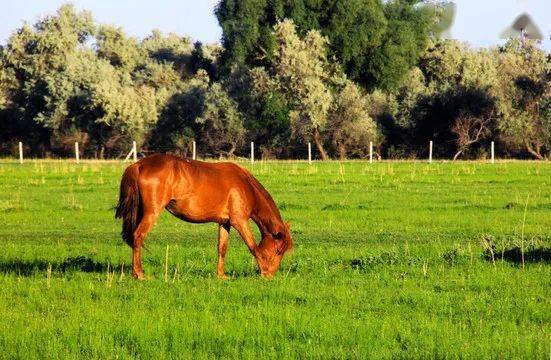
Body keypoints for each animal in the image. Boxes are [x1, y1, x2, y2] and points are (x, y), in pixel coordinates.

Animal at [115, 153, 294, 280]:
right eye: (278, 250)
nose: (270, 275)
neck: (244, 186)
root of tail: (139, 165)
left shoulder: (225, 223)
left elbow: (222, 248)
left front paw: (221, 275)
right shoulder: (240, 221)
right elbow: (253, 247)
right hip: (151, 213)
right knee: (138, 236)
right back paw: (139, 274)